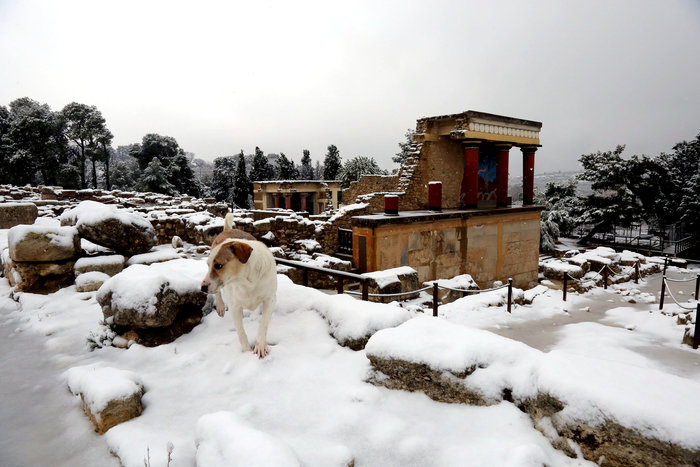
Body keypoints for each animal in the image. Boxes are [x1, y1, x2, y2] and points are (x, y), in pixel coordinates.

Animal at [200, 215, 276, 358]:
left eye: (218, 265)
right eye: (208, 265)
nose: (202, 288)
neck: (246, 281)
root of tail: (228, 230)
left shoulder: (270, 299)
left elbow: (263, 323)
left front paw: (260, 345)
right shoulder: (235, 306)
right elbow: (241, 332)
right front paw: (246, 351)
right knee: (218, 292)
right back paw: (220, 305)